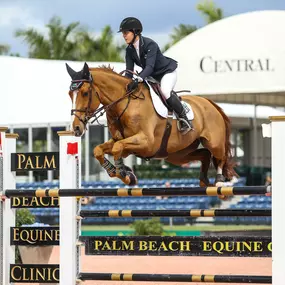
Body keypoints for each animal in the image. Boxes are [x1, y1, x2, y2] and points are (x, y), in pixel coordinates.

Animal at [65, 61, 236, 192]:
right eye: (69, 94)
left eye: (85, 93)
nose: (76, 128)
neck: (124, 104)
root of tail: (211, 103)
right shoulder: (121, 140)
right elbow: (99, 150)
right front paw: (119, 172)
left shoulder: (146, 142)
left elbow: (117, 148)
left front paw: (124, 173)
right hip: (178, 154)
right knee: (204, 155)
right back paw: (203, 181)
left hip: (213, 143)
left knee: (219, 156)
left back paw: (219, 181)